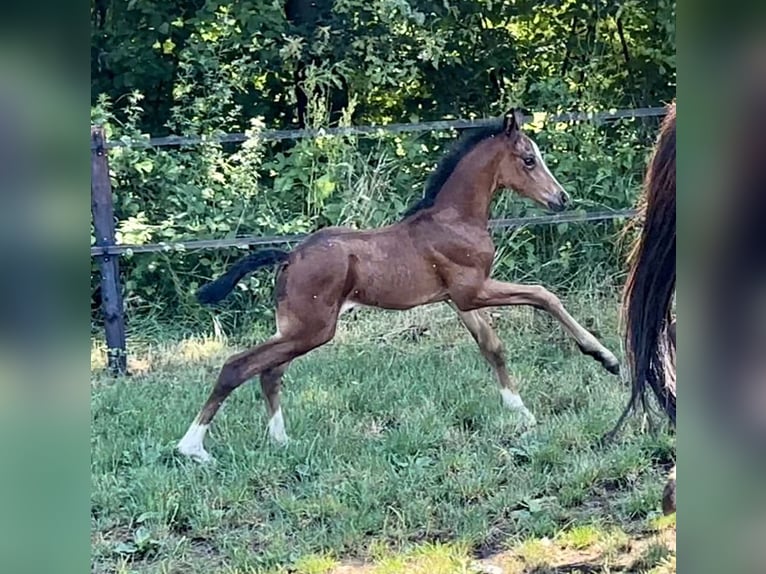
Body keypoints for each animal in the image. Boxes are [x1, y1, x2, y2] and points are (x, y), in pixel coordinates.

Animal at [180, 110, 624, 466]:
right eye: (529, 160)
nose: (561, 199)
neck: (454, 219)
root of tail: (289, 256)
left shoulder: (458, 300)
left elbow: (492, 348)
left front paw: (522, 412)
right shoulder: (473, 289)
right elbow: (543, 294)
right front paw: (606, 358)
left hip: (296, 329)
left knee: (269, 372)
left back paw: (281, 441)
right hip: (313, 329)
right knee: (238, 366)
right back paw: (193, 449)